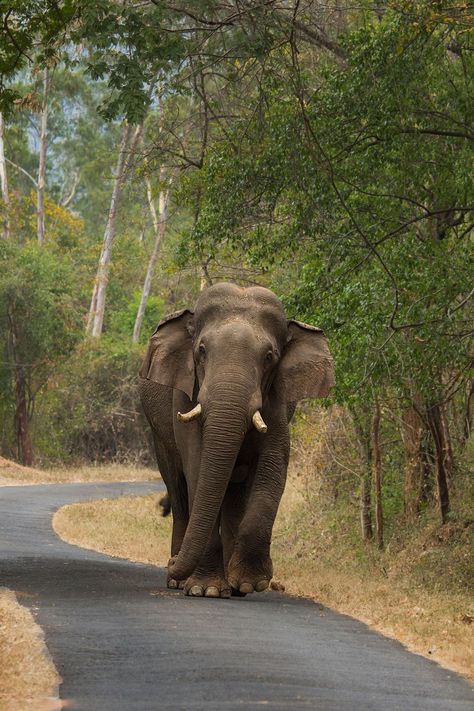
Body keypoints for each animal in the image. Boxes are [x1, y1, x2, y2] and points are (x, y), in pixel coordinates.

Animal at [139, 284, 336, 600]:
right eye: (201, 350)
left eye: (269, 356)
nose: (170, 563)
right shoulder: (184, 394)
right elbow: (197, 464)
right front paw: (205, 590)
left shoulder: (277, 402)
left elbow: (273, 464)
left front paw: (249, 583)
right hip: (159, 438)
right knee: (179, 491)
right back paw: (179, 581)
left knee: (233, 498)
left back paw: (232, 585)